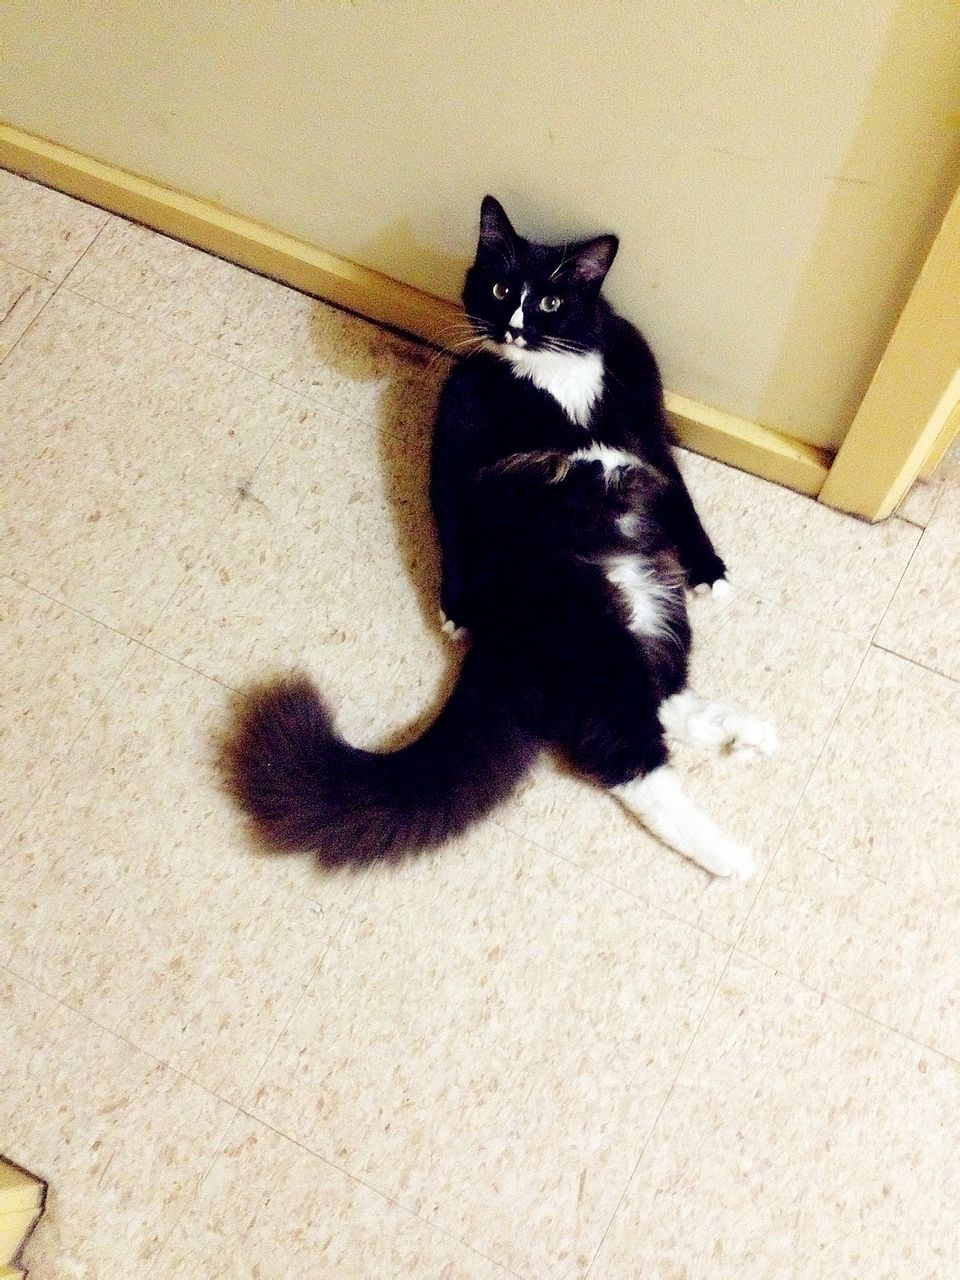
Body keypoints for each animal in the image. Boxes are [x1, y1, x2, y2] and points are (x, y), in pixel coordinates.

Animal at [224, 196, 776, 878]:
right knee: (630, 758)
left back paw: (744, 735)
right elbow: (452, 513)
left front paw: (709, 569)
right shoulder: (458, 426)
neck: (556, 371)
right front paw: (453, 605)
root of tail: (503, 645)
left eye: (550, 302)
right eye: (499, 288)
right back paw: (732, 855)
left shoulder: (647, 425)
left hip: (653, 616)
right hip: (590, 644)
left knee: (661, 702)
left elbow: (680, 497)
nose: (513, 328)